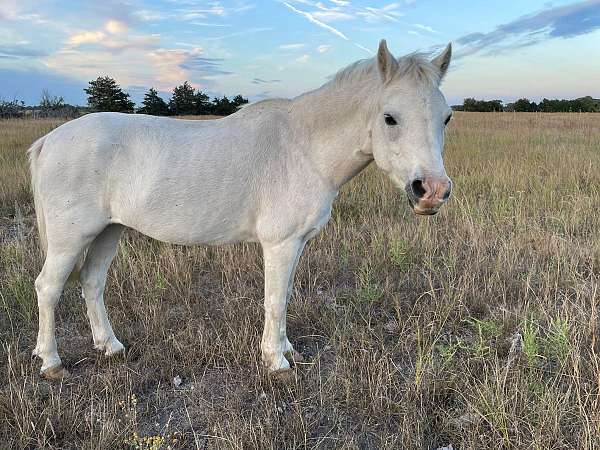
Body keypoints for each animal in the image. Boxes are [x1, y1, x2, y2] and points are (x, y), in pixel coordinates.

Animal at [27, 40, 450, 380]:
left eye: (446, 117)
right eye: (390, 117)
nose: (431, 191)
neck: (303, 147)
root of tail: (50, 140)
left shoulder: (296, 244)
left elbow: (285, 294)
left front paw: (286, 349)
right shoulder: (281, 243)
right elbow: (275, 299)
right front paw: (276, 362)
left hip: (107, 231)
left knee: (92, 282)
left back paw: (111, 347)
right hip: (71, 237)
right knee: (48, 288)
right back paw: (51, 363)